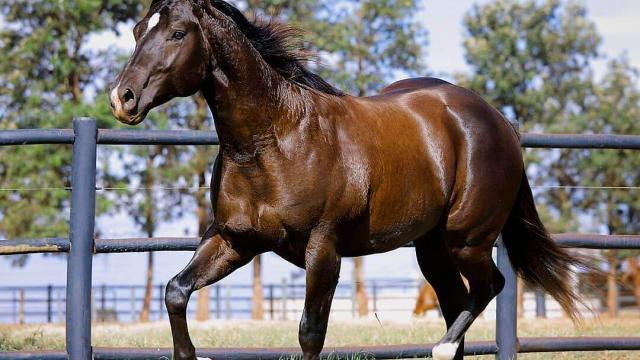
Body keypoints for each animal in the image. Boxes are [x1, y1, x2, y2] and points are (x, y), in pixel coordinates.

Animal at [109, 1, 584, 358]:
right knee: (456, 301)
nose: (122, 98)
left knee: (488, 288)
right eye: (136, 29)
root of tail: (501, 122)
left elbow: (310, 333)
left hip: (467, 239)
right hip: (431, 246)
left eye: (176, 34)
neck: (275, 138)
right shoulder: (233, 240)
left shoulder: (324, 248)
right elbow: (176, 291)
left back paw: (441, 348)